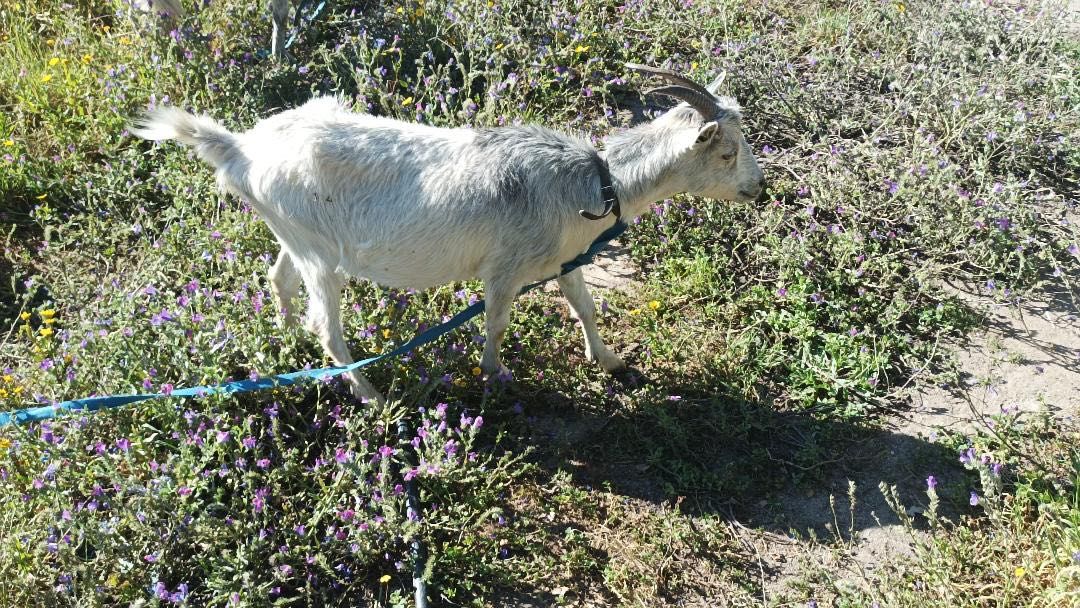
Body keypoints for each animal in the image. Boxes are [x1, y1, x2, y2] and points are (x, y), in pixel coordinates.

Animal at [130, 64, 764, 403]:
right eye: (726, 151)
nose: (758, 189)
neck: (594, 180)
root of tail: (240, 150)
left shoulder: (565, 258)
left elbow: (584, 306)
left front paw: (609, 361)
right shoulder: (505, 269)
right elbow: (497, 321)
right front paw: (494, 374)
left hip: (297, 239)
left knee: (278, 278)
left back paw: (284, 343)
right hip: (321, 253)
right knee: (325, 324)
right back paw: (368, 393)